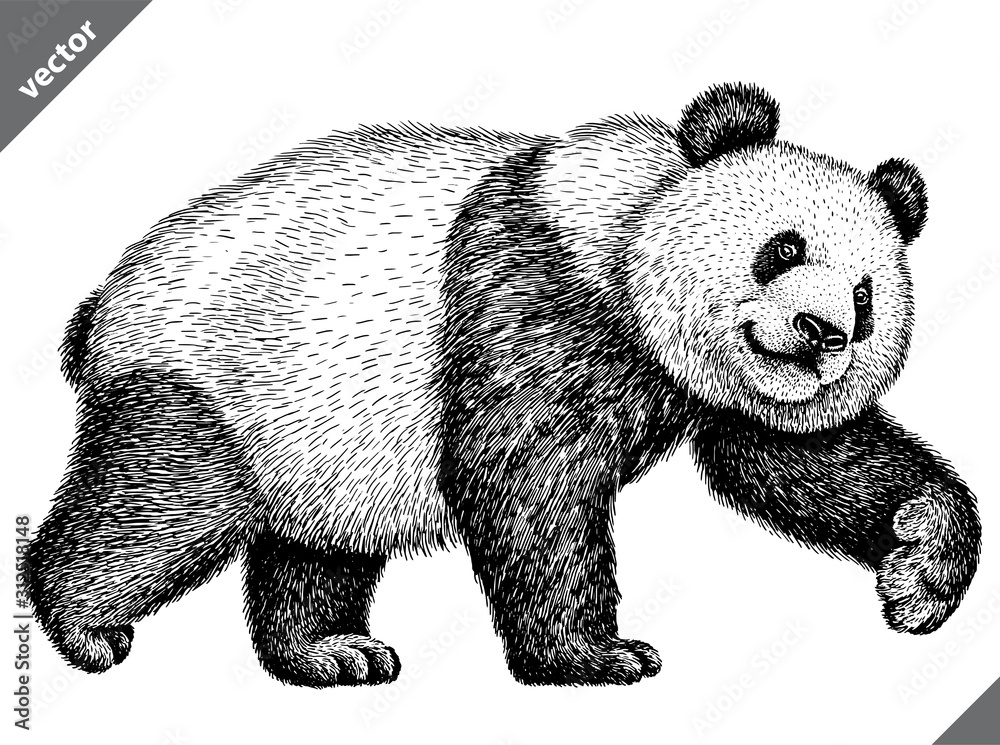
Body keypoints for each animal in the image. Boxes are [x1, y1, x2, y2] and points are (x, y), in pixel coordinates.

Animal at [27, 82, 981, 687]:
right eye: (782, 247)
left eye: (867, 297)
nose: (823, 334)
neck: (620, 235)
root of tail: (100, 305)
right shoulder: (533, 293)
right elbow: (526, 483)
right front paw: (596, 656)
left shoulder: (699, 381)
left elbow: (792, 459)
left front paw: (919, 570)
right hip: (214, 375)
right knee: (161, 505)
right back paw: (82, 624)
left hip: (312, 435)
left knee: (314, 545)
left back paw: (331, 650)